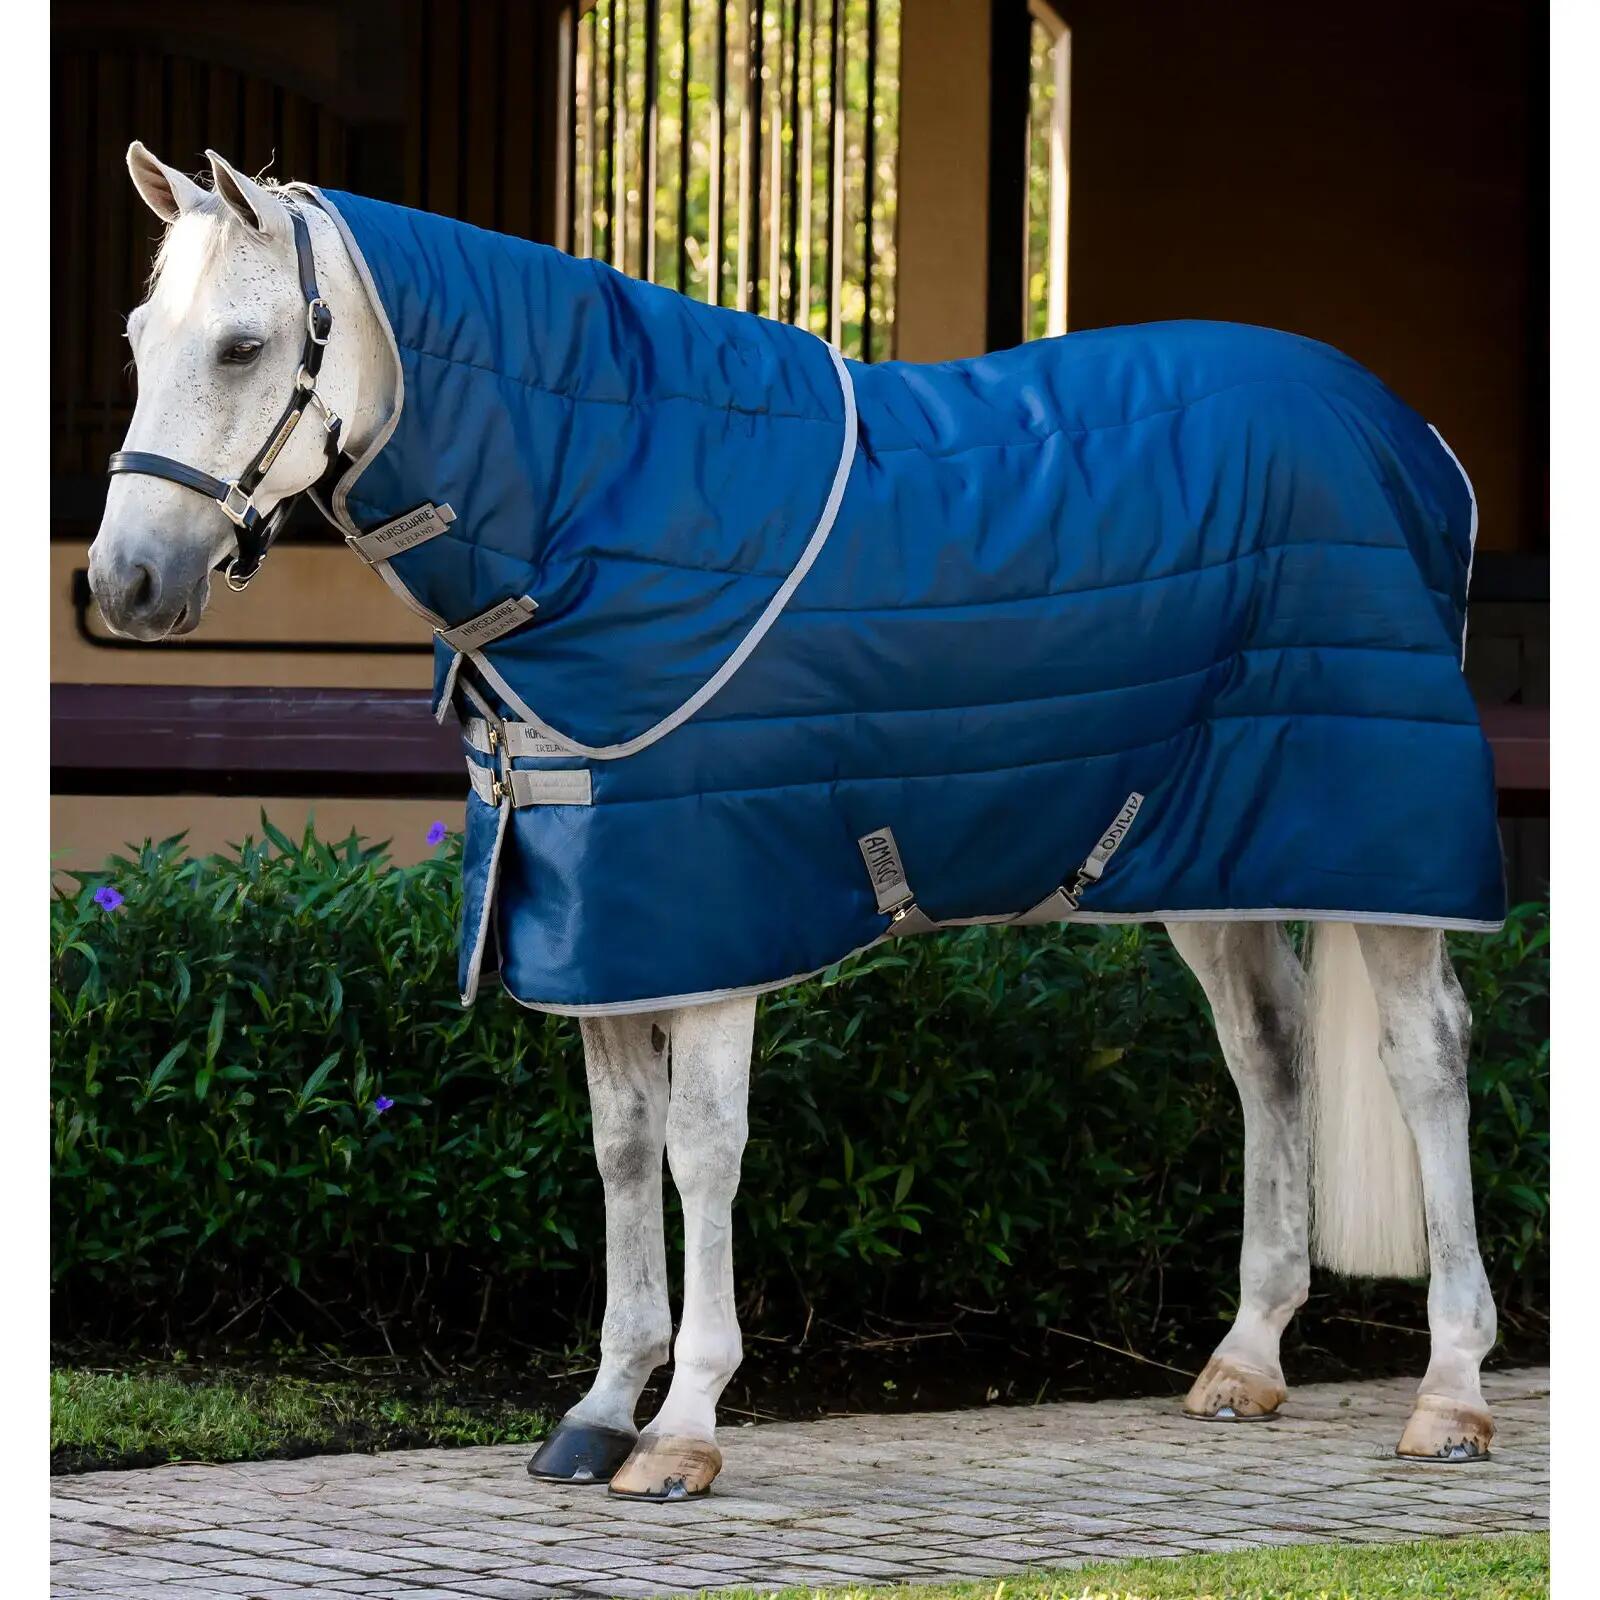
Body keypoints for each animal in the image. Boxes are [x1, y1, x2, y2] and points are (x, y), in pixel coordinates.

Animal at [88, 142, 1502, 1500]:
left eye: (243, 346)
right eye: (141, 336)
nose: (124, 582)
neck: (598, 502)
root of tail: (1415, 437)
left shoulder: (710, 918)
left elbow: (702, 1150)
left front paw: (683, 1429)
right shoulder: (601, 922)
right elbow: (620, 1149)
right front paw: (600, 1408)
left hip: (1378, 844)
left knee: (1425, 1059)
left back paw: (1450, 1393)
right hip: (1206, 852)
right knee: (1268, 1052)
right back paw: (1246, 1358)